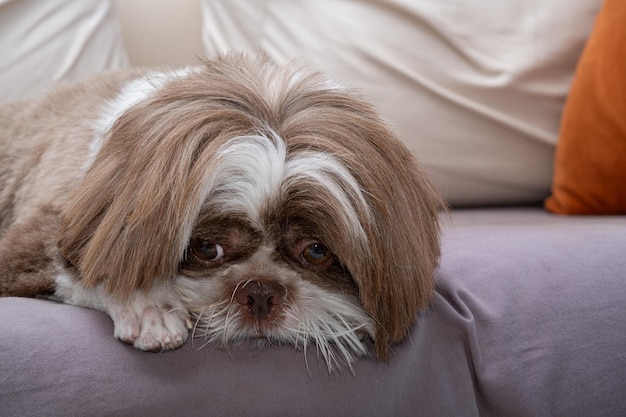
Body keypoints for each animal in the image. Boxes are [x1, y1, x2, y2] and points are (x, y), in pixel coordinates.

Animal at [0, 52, 442, 368]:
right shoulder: (30, 246)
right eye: (206, 249)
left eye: (316, 251)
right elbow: (90, 269)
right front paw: (148, 306)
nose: (260, 291)